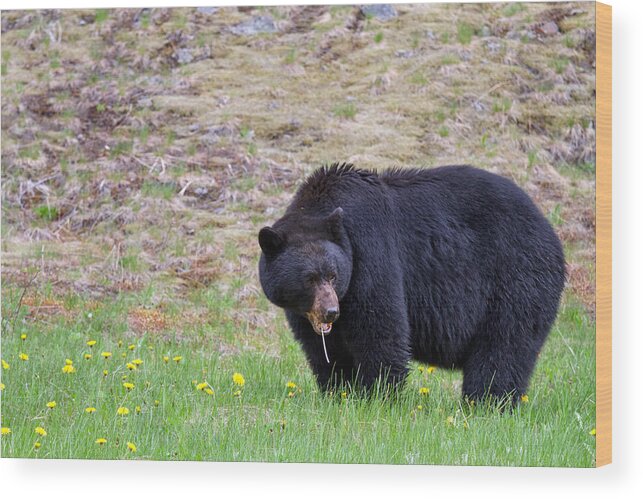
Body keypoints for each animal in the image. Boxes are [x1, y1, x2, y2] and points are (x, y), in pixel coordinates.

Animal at [260, 166, 568, 404]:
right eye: (309, 278)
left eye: (333, 274)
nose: (331, 312)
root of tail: (550, 230)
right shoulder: (304, 311)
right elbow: (323, 349)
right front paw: (338, 393)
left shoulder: (370, 253)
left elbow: (381, 329)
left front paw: (377, 396)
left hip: (517, 276)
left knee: (504, 345)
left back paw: (487, 403)